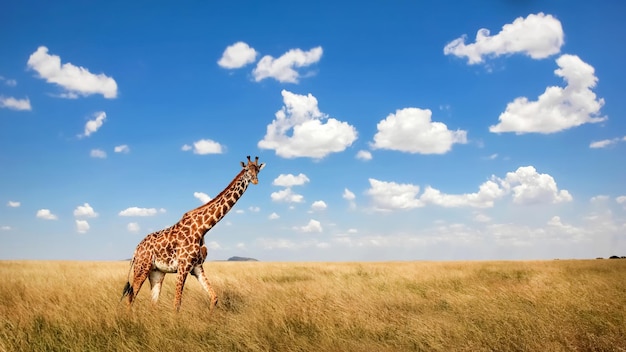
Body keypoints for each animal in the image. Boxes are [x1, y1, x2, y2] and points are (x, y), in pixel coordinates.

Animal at [120, 156, 264, 310]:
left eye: (258, 170)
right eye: (247, 170)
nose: (255, 180)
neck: (203, 228)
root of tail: (136, 250)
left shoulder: (197, 267)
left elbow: (214, 297)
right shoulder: (183, 266)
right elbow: (177, 303)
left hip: (156, 272)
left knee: (153, 301)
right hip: (142, 268)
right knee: (130, 298)